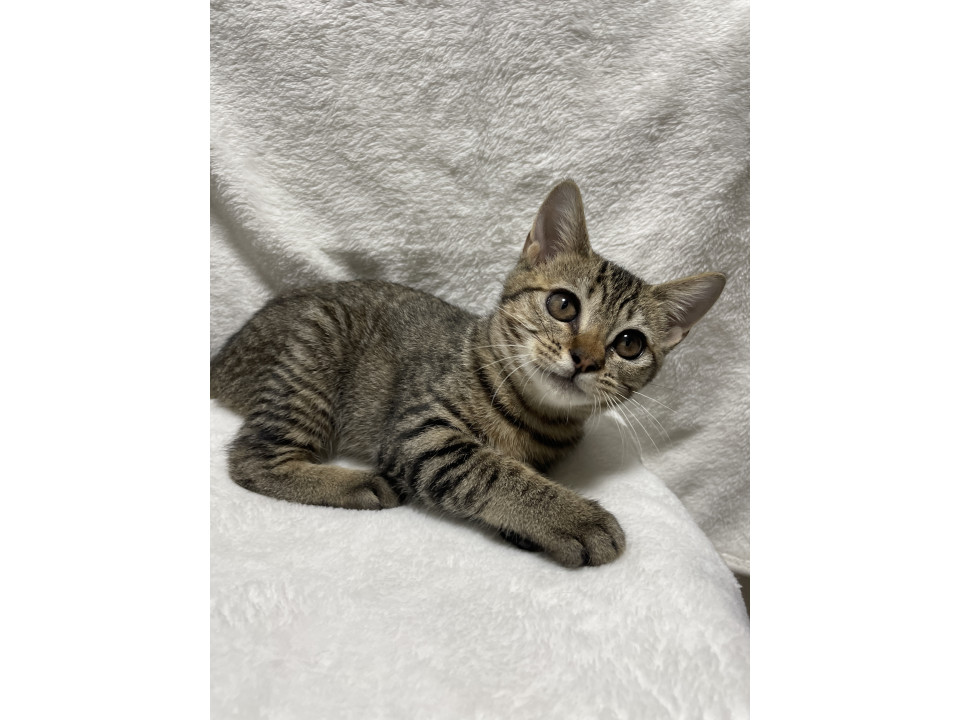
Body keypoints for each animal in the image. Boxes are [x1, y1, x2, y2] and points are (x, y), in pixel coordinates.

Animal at [211, 180, 725, 567]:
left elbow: (515, 472)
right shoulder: (421, 431)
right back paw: (358, 484)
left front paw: (535, 527)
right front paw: (575, 518)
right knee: (252, 460)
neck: (536, 413)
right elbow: (494, 472)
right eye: (562, 304)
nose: (585, 358)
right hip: (315, 352)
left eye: (629, 345)